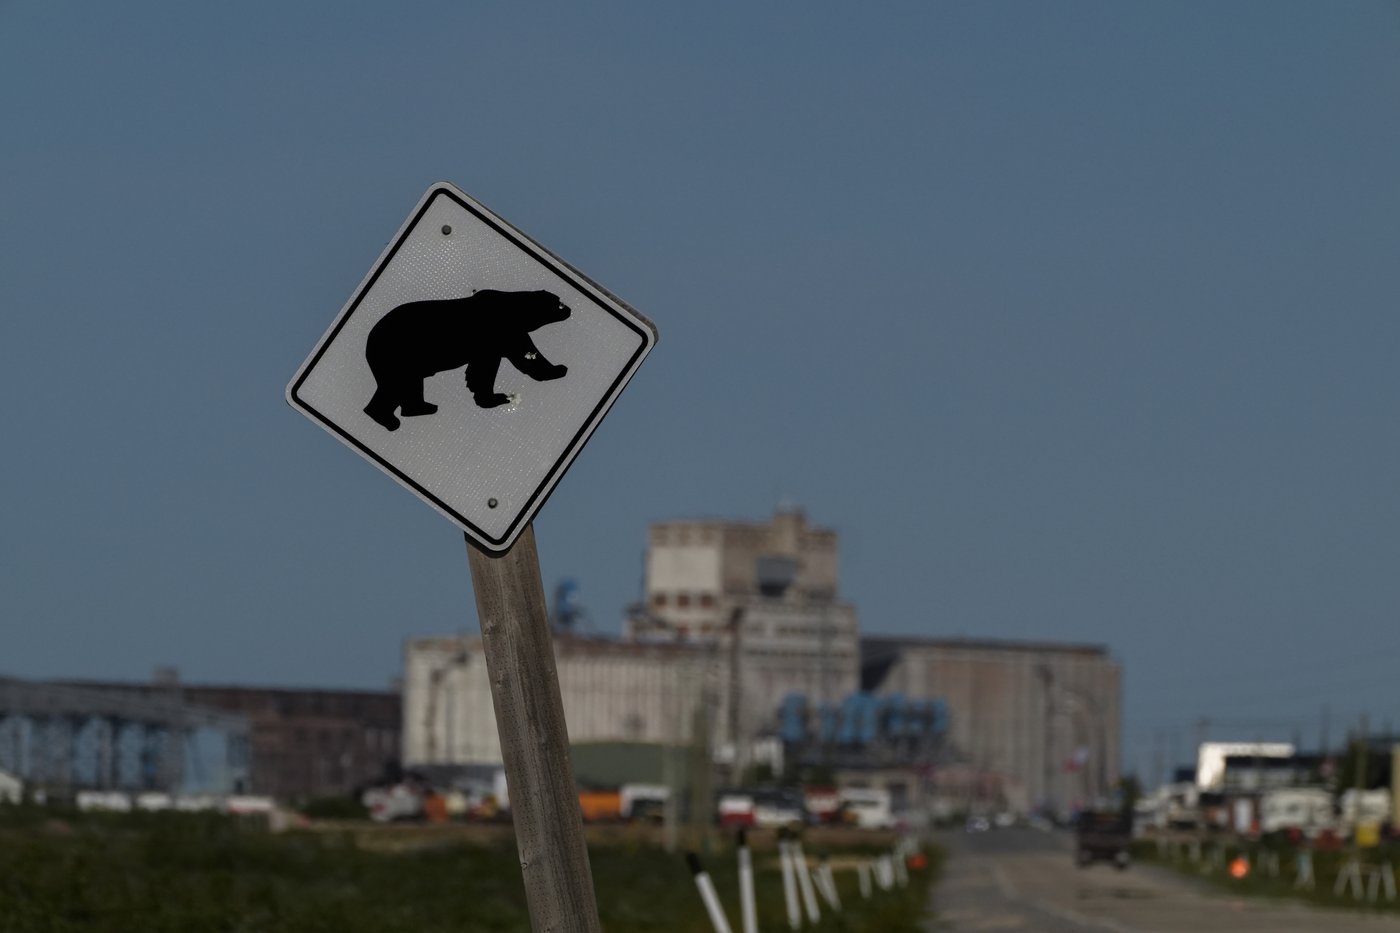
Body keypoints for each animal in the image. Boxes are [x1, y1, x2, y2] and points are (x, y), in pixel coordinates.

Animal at [362, 288, 570, 431]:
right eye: (558, 303)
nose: (569, 309)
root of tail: (369, 339)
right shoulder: (501, 330)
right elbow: (520, 356)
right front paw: (559, 369)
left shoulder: (496, 340)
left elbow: (484, 366)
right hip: (398, 354)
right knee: (398, 384)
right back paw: (395, 418)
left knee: (403, 386)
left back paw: (417, 409)